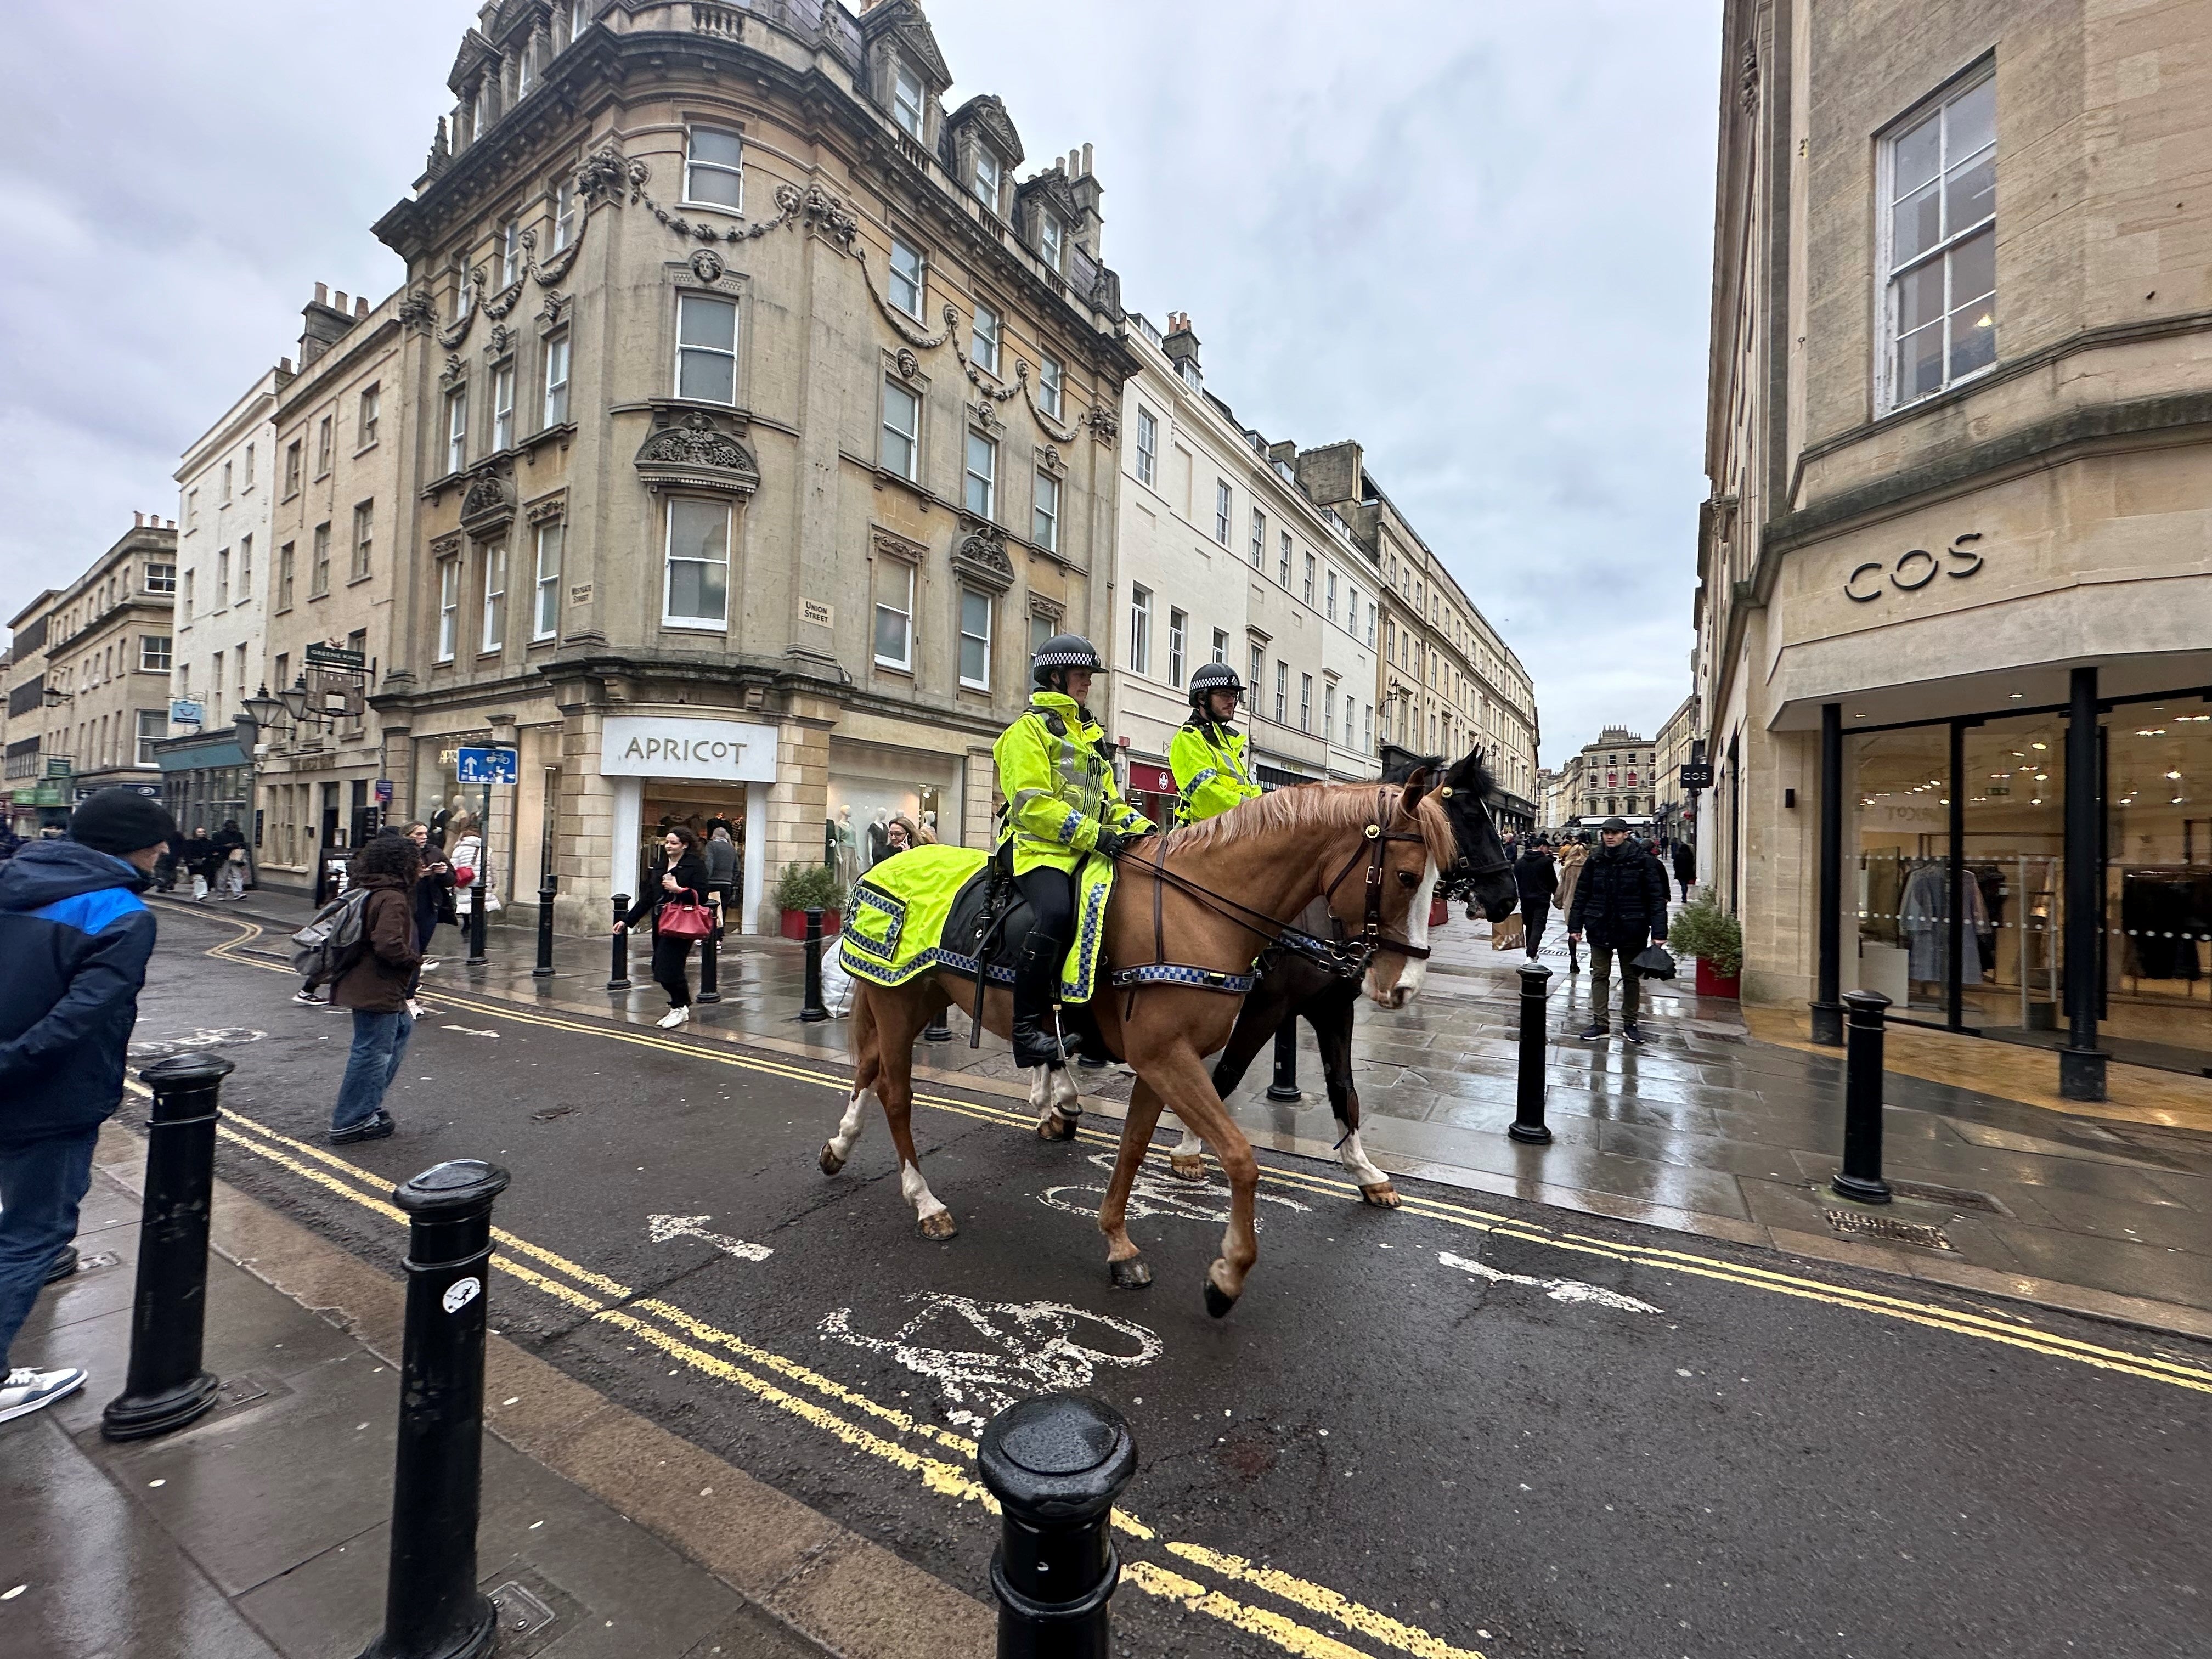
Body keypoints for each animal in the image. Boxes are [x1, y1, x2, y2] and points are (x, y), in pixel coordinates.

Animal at [822, 774, 1460, 1318]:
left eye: (1440, 879)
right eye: (1408, 877)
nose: (1404, 986)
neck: (1199, 912)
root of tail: (893, 861)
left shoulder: (1166, 1061)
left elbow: (1133, 1149)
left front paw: (1120, 1245)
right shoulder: (1170, 1055)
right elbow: (1240, 1156)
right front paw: (1226, 1276)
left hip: (920, 997)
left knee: (870, 1069)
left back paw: (840, 1145)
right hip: (897, 1001)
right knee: (897, 1094)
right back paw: (926, 1201)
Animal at [1159, 747, 1522, 1203]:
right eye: (1471, 815)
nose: (1507, 897)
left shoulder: (1332, 1008)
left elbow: (1344, 1089)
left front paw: (1365, 1171)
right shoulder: (1267, 1005)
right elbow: (1227, 1074)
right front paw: (1189, 1148)